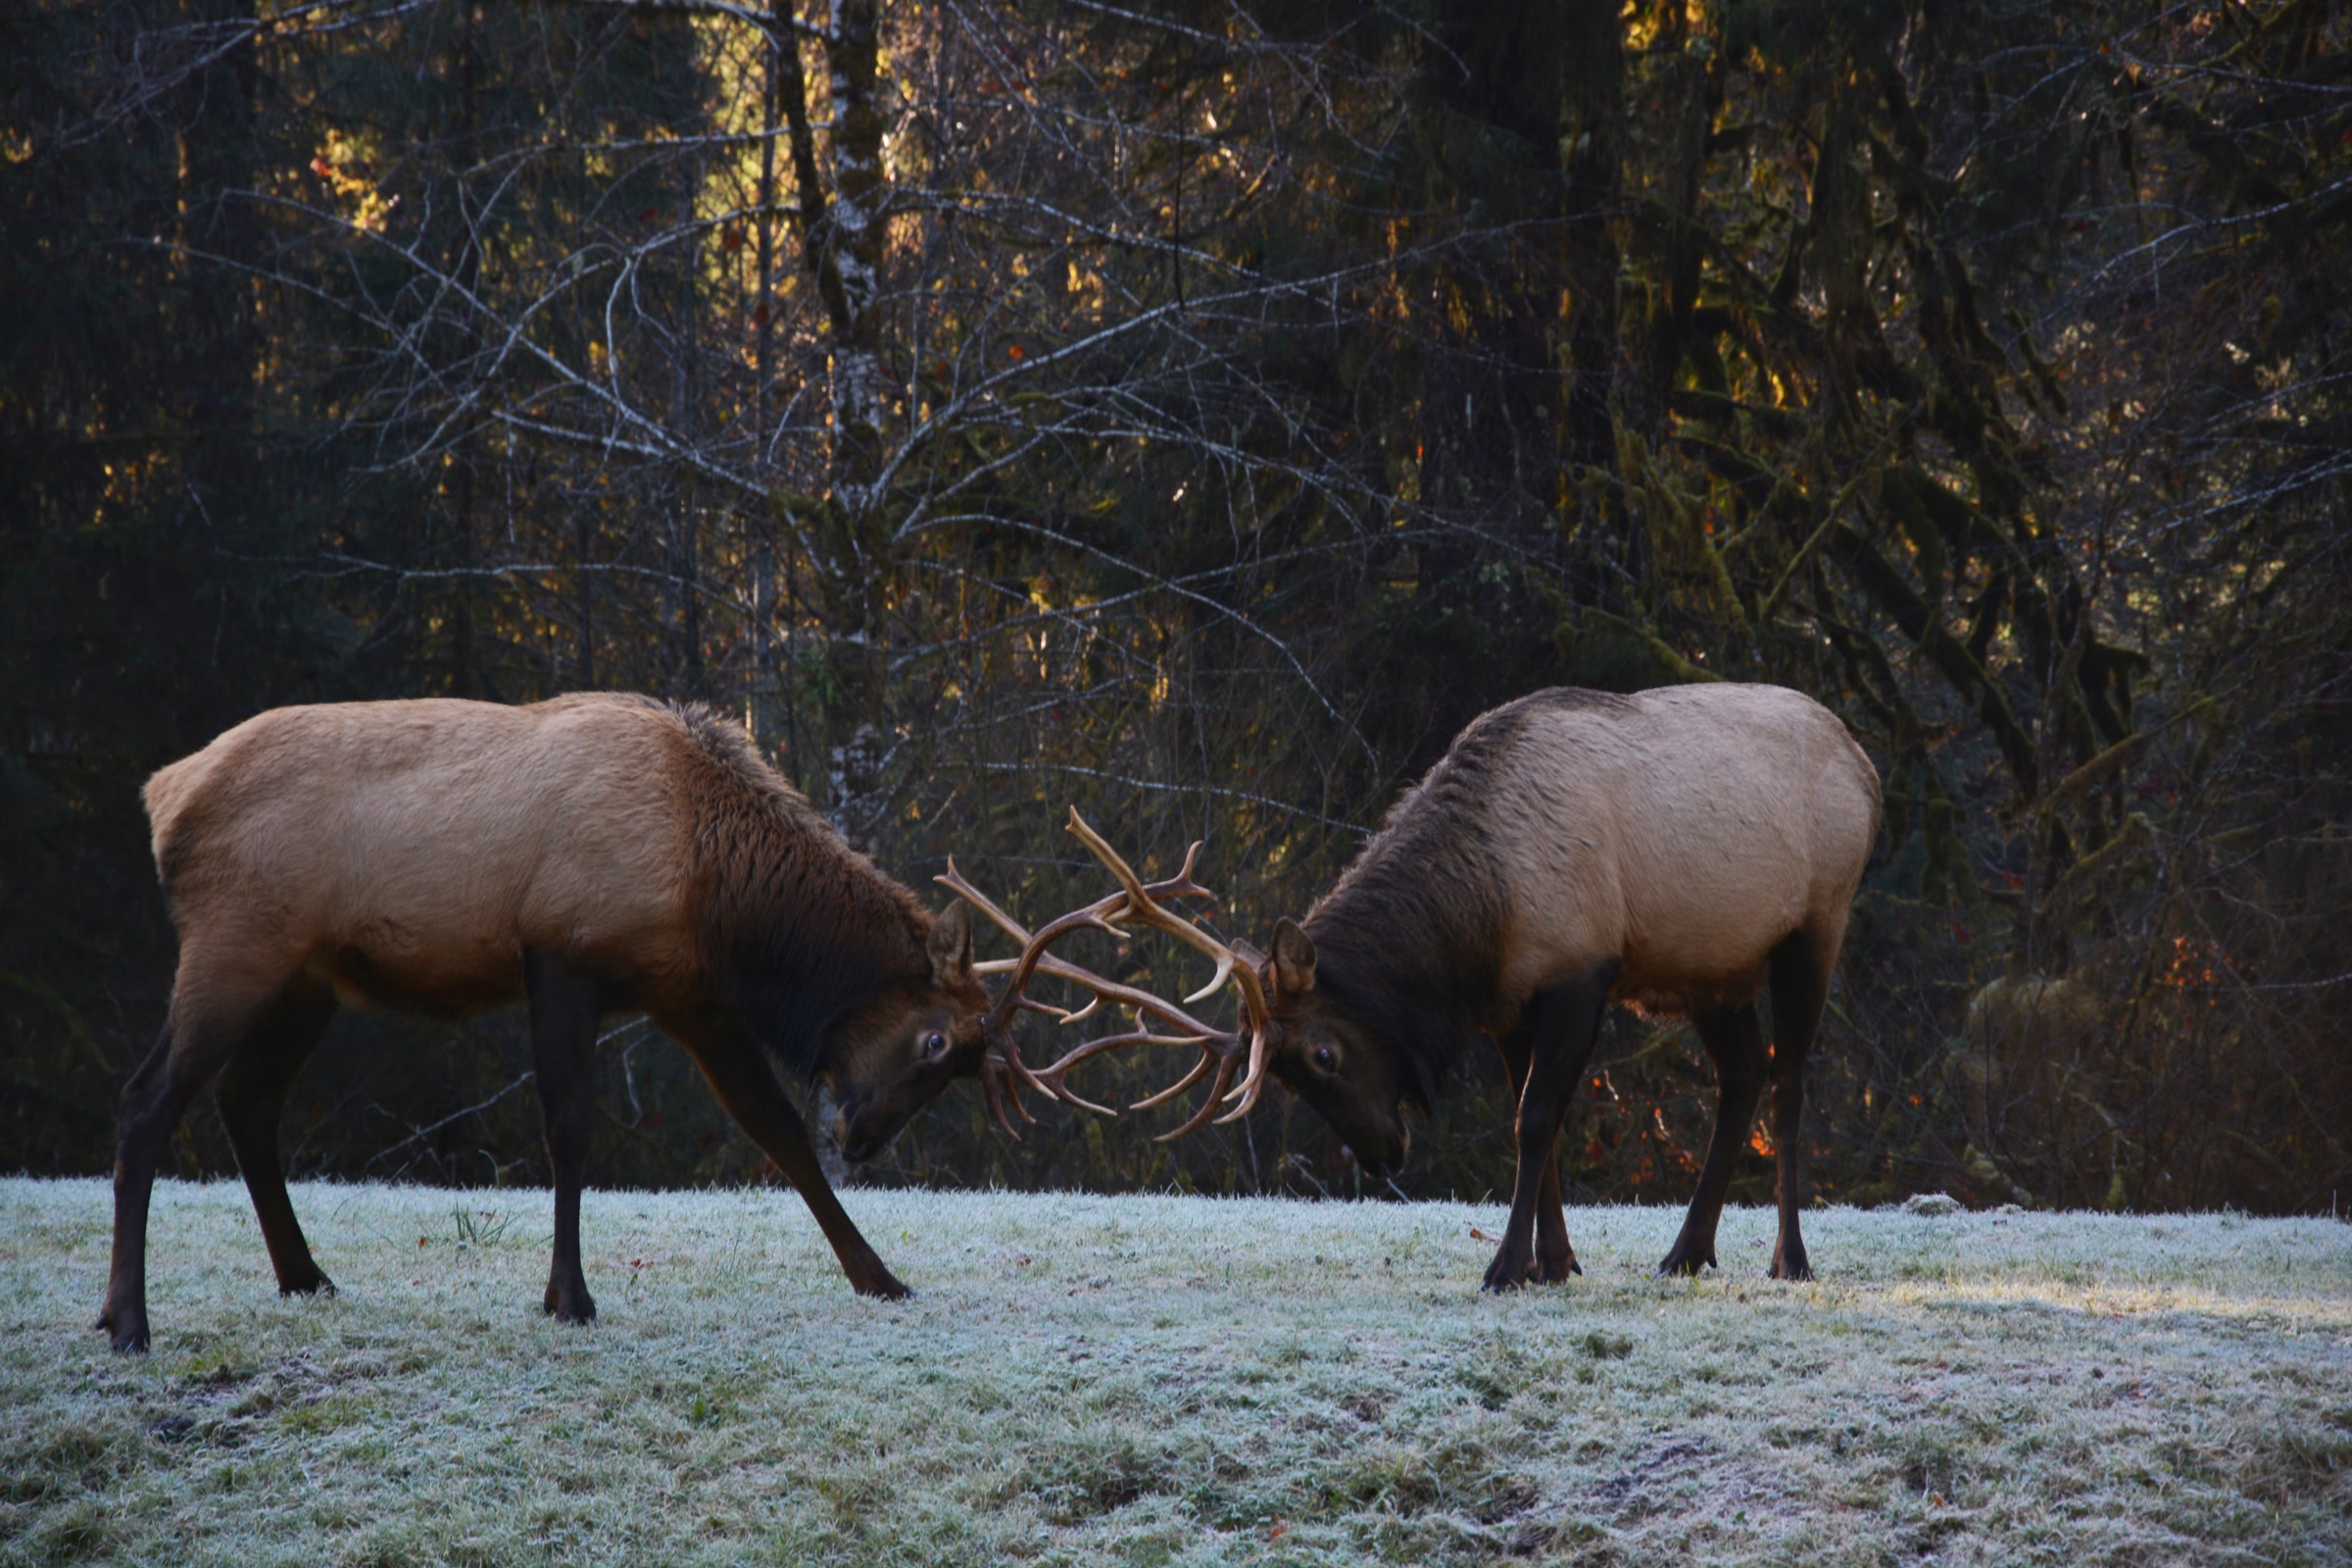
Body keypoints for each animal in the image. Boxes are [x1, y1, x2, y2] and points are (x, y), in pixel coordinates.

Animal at [101, 692, 1112, 1352]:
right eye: (938, 1041)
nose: (865, 1139)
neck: (717, 888)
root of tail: (162, 798)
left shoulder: (687, 991)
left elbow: (775, 1131)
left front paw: (881, 1276)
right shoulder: (563, 951)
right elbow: (571, 1127)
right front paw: (569, 1297)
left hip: (309, 978)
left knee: (246, 1101)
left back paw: (304, 1275)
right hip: (235, 943)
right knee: (147, 1098)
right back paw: (128, 1320)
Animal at [1009, 685, 1882, 1290]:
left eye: (1323, 1053)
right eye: (1283, 1076)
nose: (1381, 1155)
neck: (1481, 917)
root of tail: (1869, 772)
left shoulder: (1582, 970)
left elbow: (1535, 1120)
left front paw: (1505, 1267)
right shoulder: (1510, 1005)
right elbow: (1541, 1123)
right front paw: (1552, 1262)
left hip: (1816, 927)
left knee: (1787, 1085)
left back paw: (1790, 1259)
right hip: (1711, 969)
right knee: (1740, 1078)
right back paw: (1687, 1252)